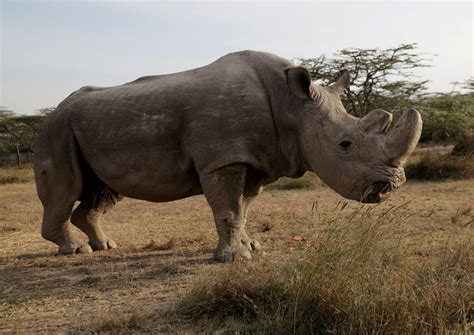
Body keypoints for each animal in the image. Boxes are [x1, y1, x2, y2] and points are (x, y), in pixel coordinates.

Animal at [35, 50, 424, 262]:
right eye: (345, 144)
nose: (390, 186)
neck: (292, 106)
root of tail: (52, 110)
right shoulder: (223, 158)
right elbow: (227, 209)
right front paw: (233, 259)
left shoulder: (256, 160)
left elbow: (243, 209)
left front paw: (252, 246)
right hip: (56, 129)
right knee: (66, 189)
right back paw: (76, 251)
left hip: (88, 129)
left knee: (102, 191)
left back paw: (105, 246)